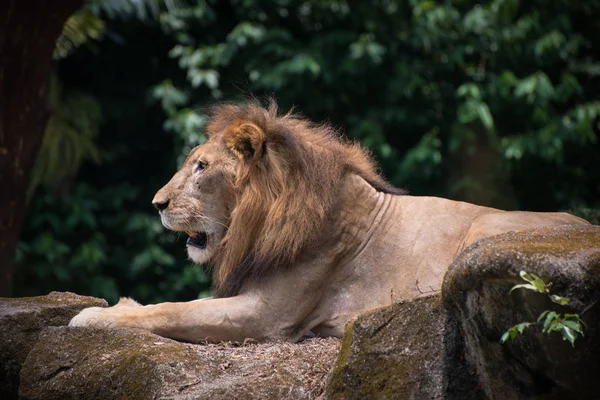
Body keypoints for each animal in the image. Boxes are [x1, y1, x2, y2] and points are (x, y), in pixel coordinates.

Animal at [71, 101, 592, 342]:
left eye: (201, 167)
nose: (157, 203)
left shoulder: (266, 316)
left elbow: (174, 309)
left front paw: (96, 315)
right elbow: (176, 305)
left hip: (485, 233)